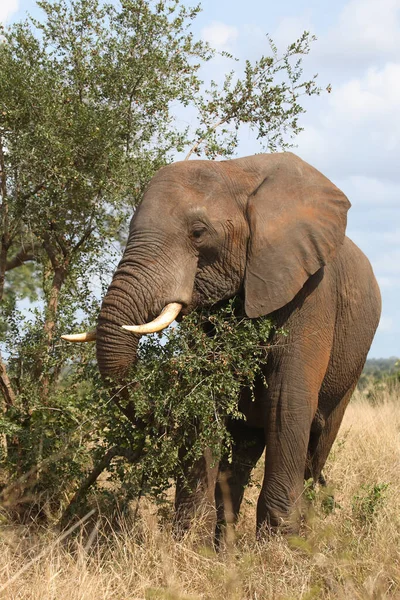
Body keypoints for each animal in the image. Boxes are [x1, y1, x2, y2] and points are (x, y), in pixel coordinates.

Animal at [63, 152, 382, 536]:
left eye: (198, 233)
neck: (237, 172)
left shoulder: (313, 291)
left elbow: (286, 399)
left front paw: (278, 545)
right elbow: (208, 393)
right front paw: (188, 540)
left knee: (315, 449)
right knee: (241, 460)